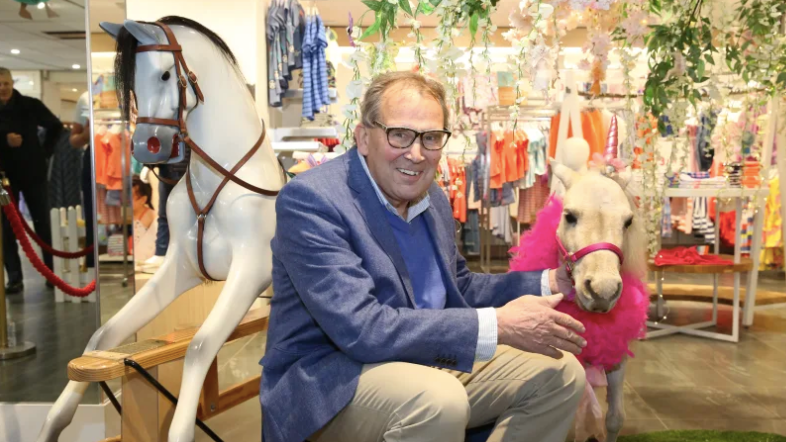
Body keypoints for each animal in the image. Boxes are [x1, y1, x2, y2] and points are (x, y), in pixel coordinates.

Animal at [37, 16, 285, 442]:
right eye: (132, 82)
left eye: (166, 74)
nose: (144, 147)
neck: (221, 179)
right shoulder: (182, 269)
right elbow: (103, 336)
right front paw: (53, 423)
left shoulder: (251, 270)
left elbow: (199, 348)